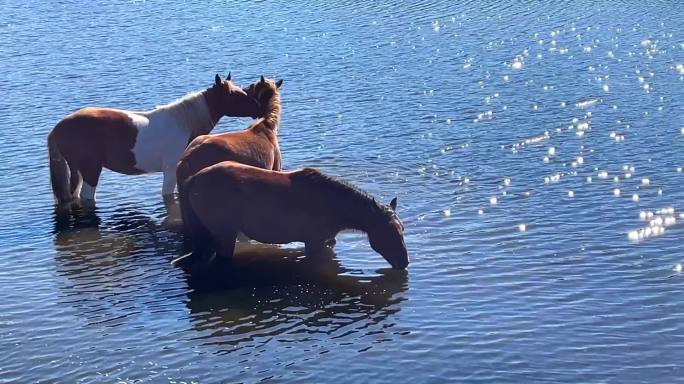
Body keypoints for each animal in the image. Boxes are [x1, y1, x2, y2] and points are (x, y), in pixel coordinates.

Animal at [47, 73, 262, 206]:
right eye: (235, 95)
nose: (259, 108)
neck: (183, 123)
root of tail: (58, 127)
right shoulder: (170, 170)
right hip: (91, 170)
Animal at [179, 161, 408, 270]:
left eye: (402, 229)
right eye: (387, 233)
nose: (404, 262)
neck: (331, 202)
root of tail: (194, 178)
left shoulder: (327, 241)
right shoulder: (314, 243)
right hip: (225, 235)